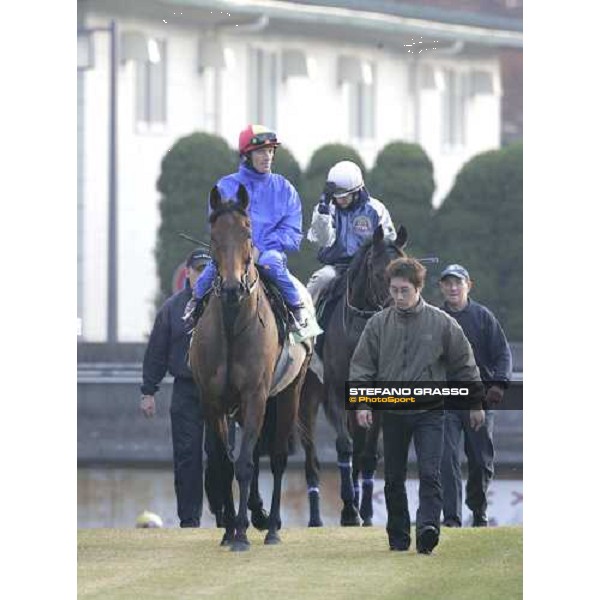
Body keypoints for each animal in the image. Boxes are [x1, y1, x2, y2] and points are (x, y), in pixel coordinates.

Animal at [189, 185, 312, 552]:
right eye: (214, 234)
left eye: (247, 231)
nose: (231, 288)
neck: (233, 327)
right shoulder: (213, 400)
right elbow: (224, 464)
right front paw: (230, 530)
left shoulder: (255, 393)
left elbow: (243, 463)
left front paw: (242, 535)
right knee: (255, 453)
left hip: (288, 392)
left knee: (278, 456)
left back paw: (271, 528)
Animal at [298, 224, 408, 524]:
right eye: (380, 273)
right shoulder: (335, 392)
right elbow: (344, 446)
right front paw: (348, 510)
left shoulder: (376, 398)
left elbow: (367, 454)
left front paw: (366, 513)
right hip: (307, 399)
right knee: (312, 458)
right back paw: (316, 517)